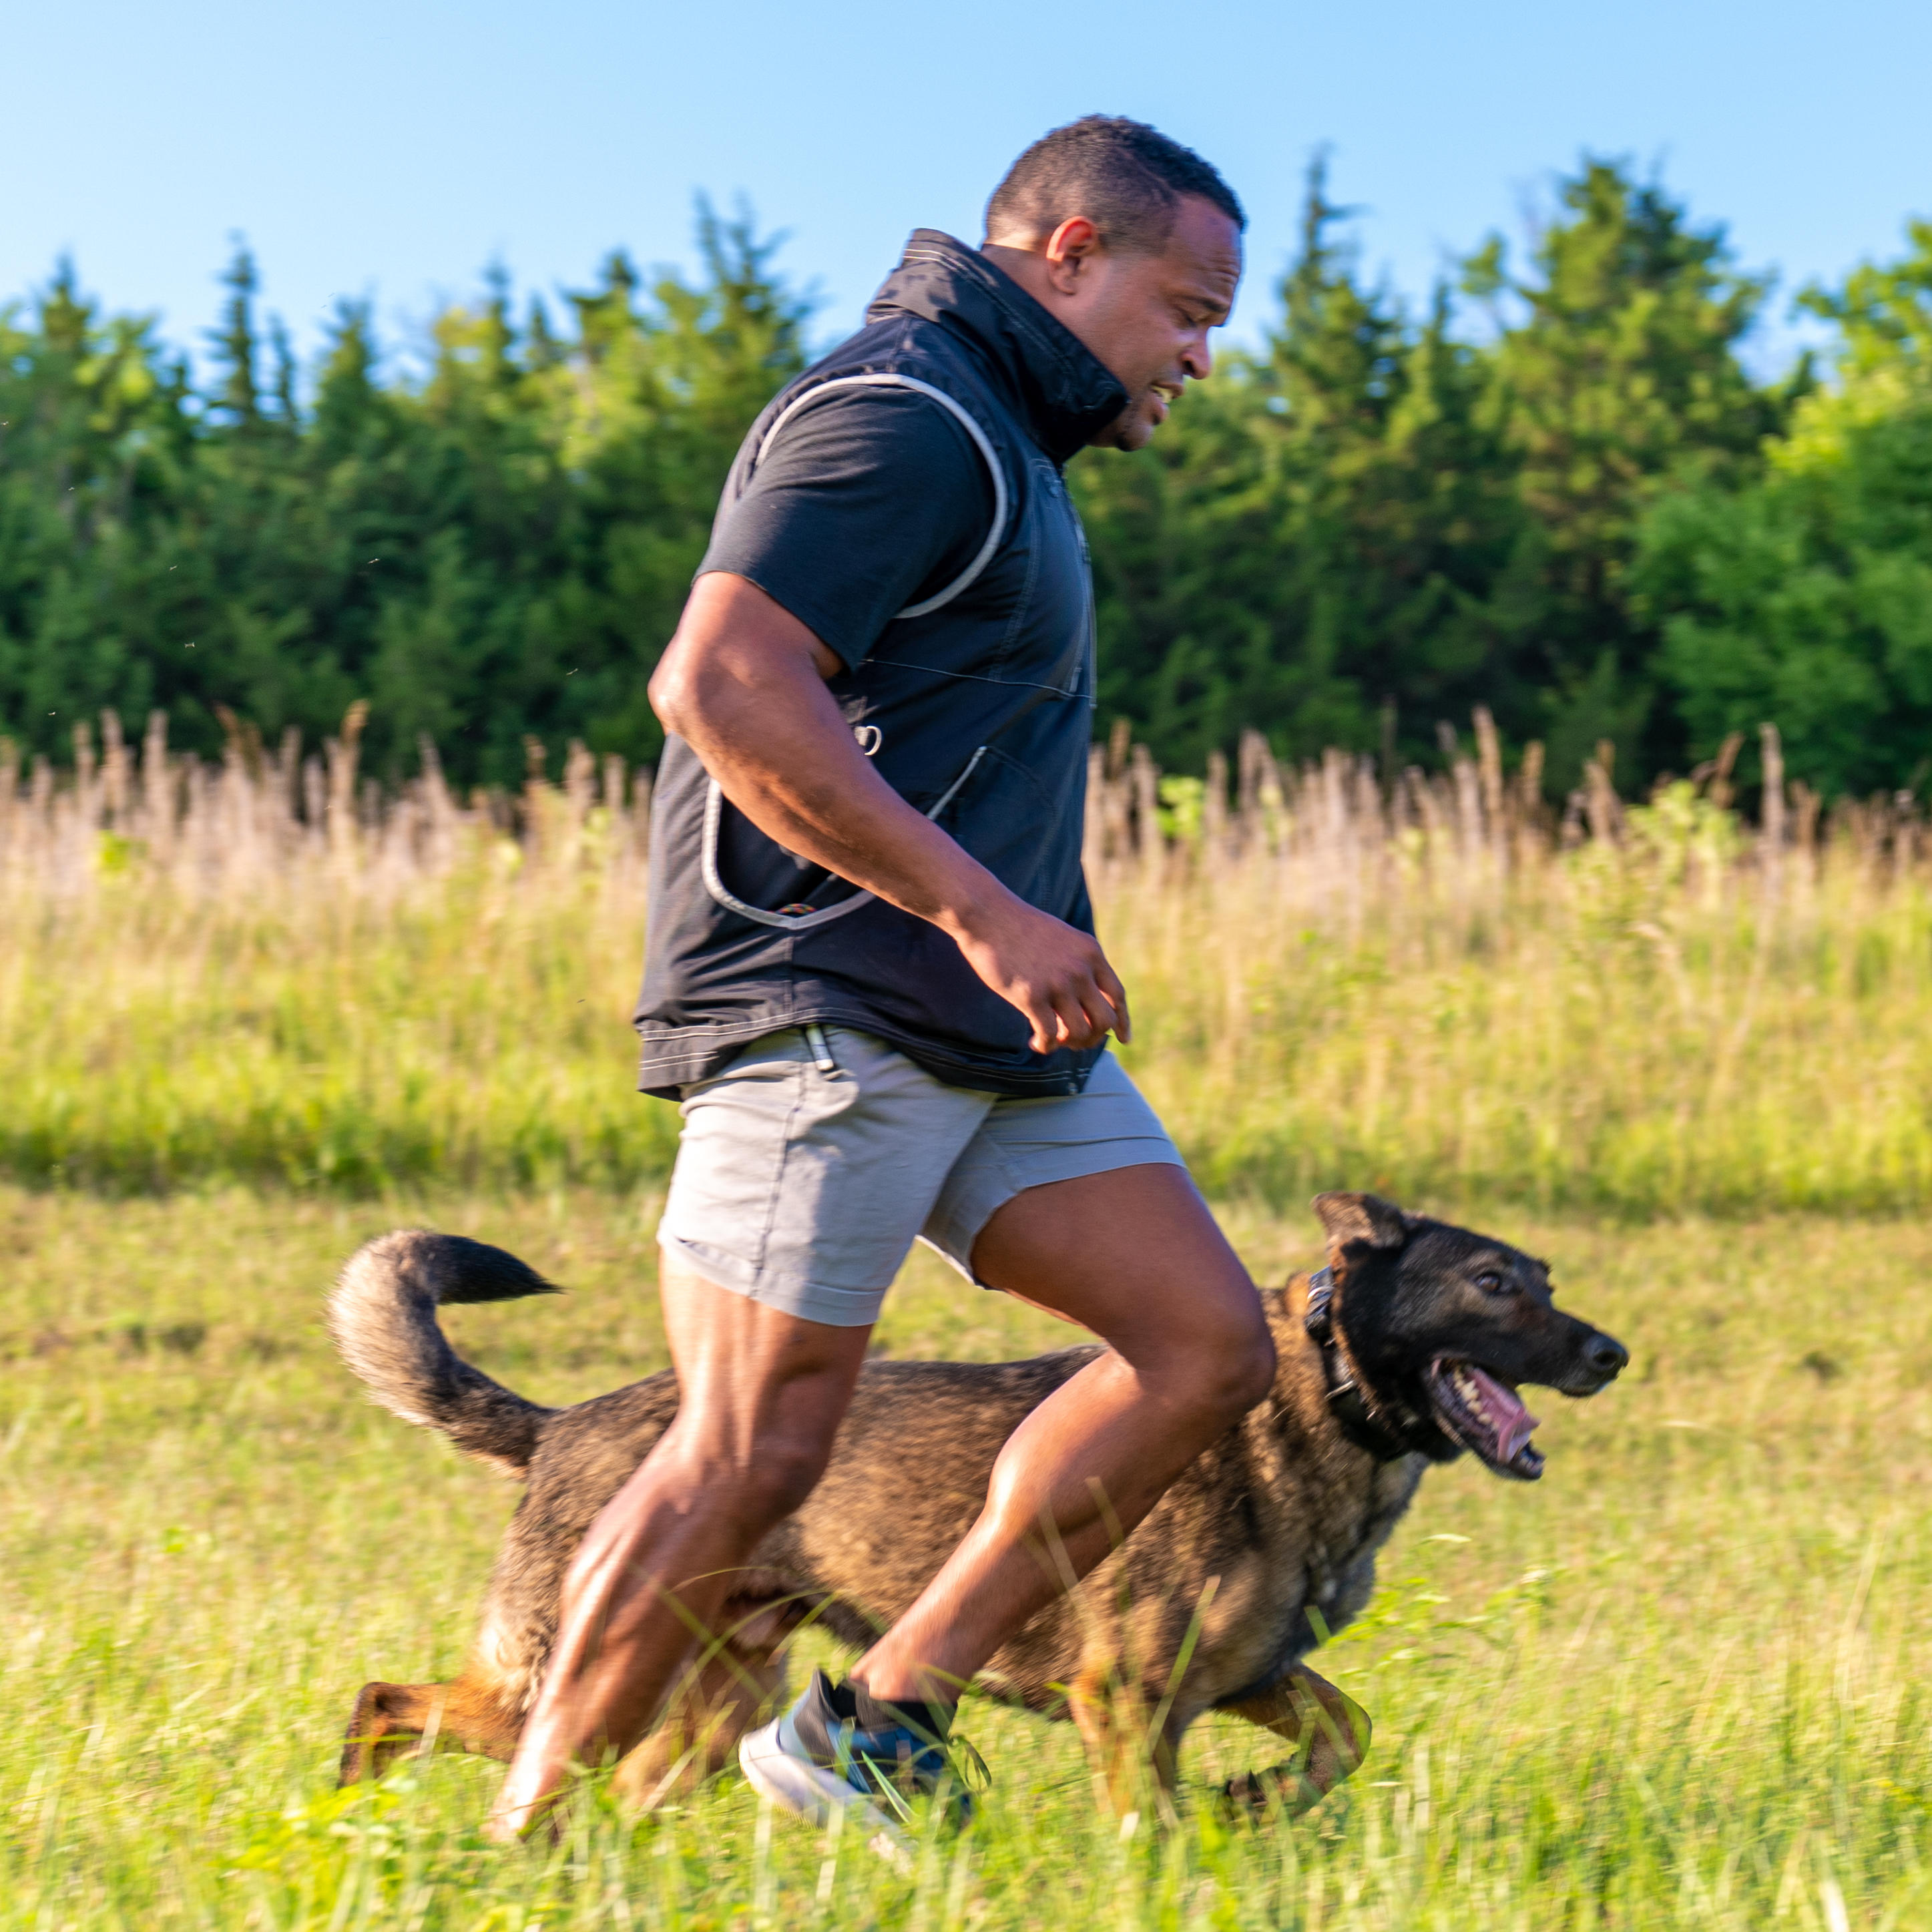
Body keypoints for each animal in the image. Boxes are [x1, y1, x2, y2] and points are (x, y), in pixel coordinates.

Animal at [324, 1190, 1622, 1808]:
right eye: (1491, 1282)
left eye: (1546, 1279)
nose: (1609, 1352)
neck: (1319, 1396)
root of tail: (561, 1424)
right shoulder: (1126, 1697)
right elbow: (1151, 1827)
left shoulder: (1249, 1674)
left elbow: (1345, 1734)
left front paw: (1257, 1801)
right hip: (567, 1682)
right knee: (388, 1699)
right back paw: (352, 1811)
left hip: (718, 1710)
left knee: (625, 1785)